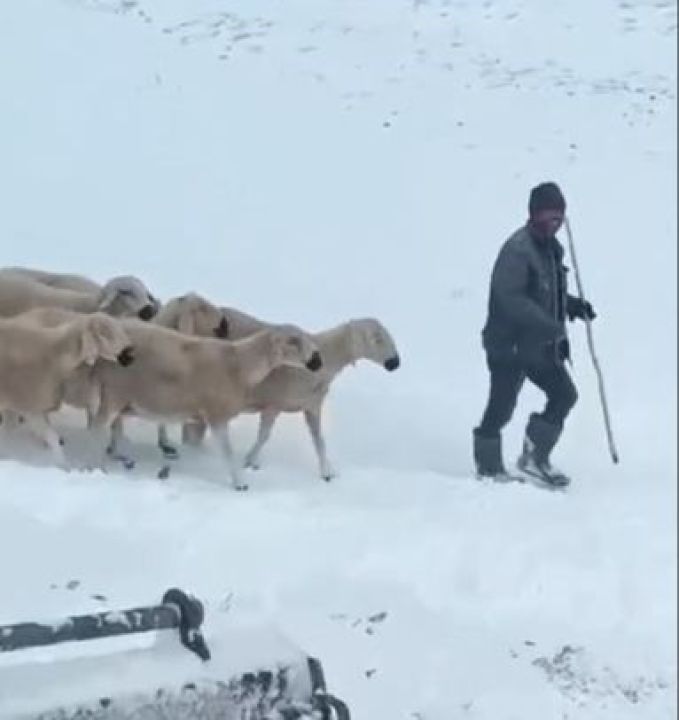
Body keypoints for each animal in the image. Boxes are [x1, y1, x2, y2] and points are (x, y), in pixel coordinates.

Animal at [89, 320, 322, 490]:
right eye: (293, 341)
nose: (317, 361)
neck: (240, 365)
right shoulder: (216, 414)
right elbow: (228, 452)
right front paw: (240, 483)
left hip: (119, 397)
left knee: (113, 425)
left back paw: (120, 456)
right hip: (115, 392)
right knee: (99, 427)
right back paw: (98, 467)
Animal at [183, 308, 402, 480]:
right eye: (376, 338)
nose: (395, 362)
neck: (326, 359)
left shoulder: (312, 406)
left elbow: (319, 440)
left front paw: (327, 472)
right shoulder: (273, 403)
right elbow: (264, 436)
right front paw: (250, 460)